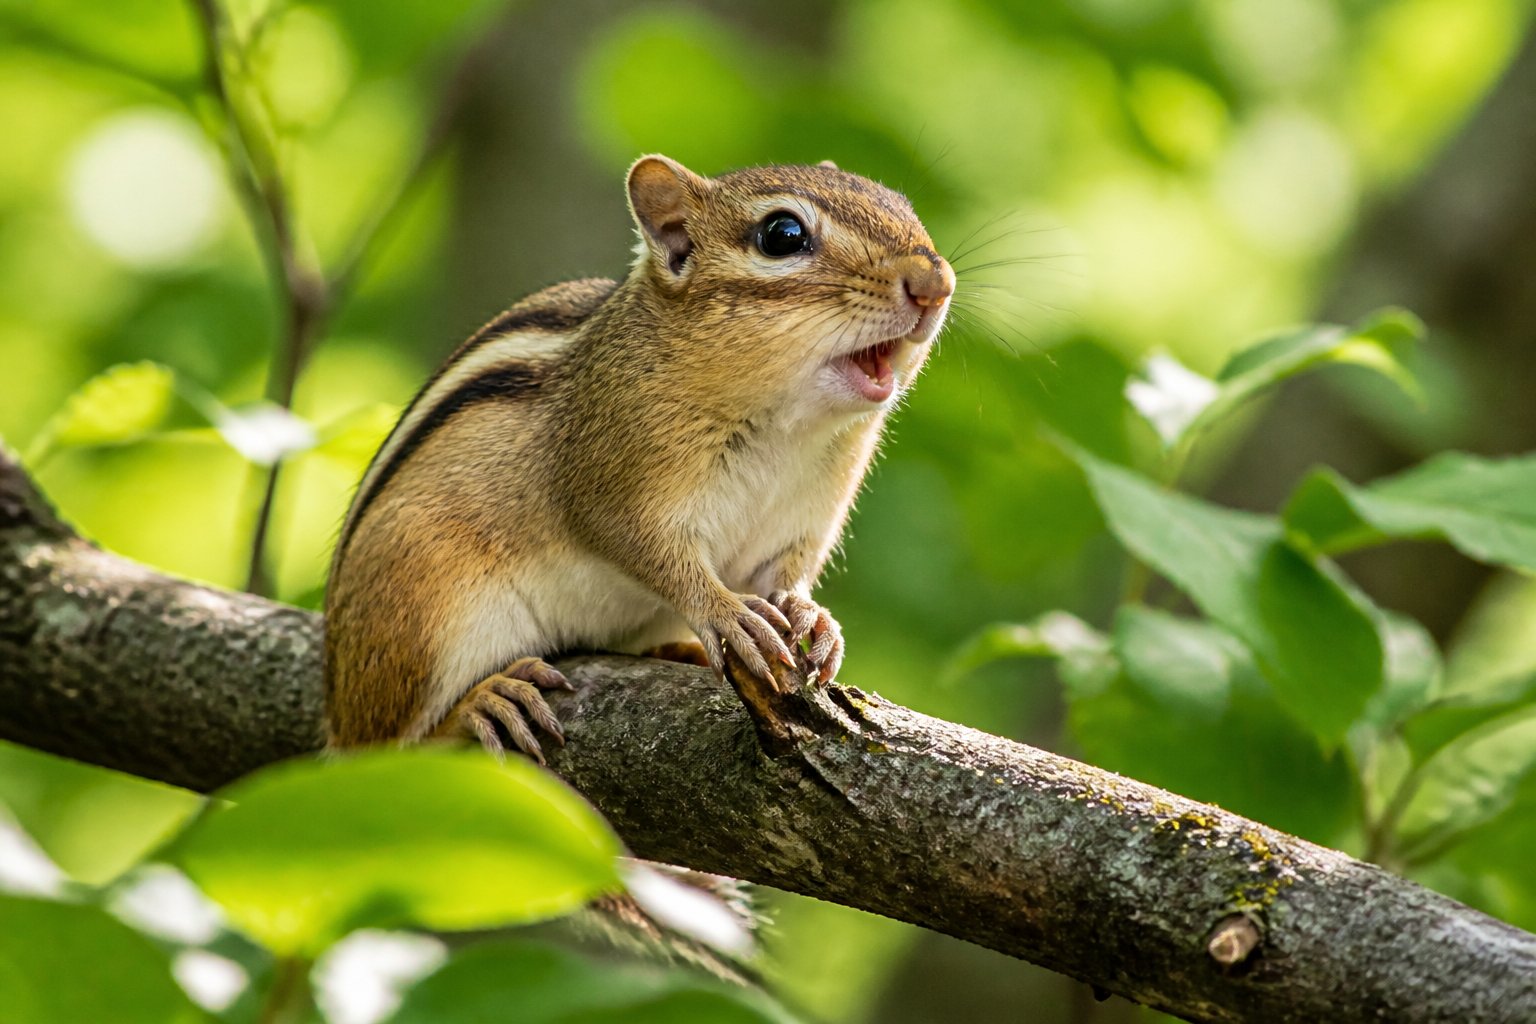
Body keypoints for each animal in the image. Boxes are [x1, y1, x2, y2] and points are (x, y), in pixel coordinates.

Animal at [324, 155, 954, 758]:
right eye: (782, 234)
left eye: (903, 205)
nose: (936, 281)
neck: (785, 428)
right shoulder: (614, 480)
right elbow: (651, 552)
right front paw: (726, 613)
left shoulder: (801, 524)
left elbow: (787, 576)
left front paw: (813, 617)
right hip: (421, 613)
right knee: (387, 746)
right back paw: (483, 704)